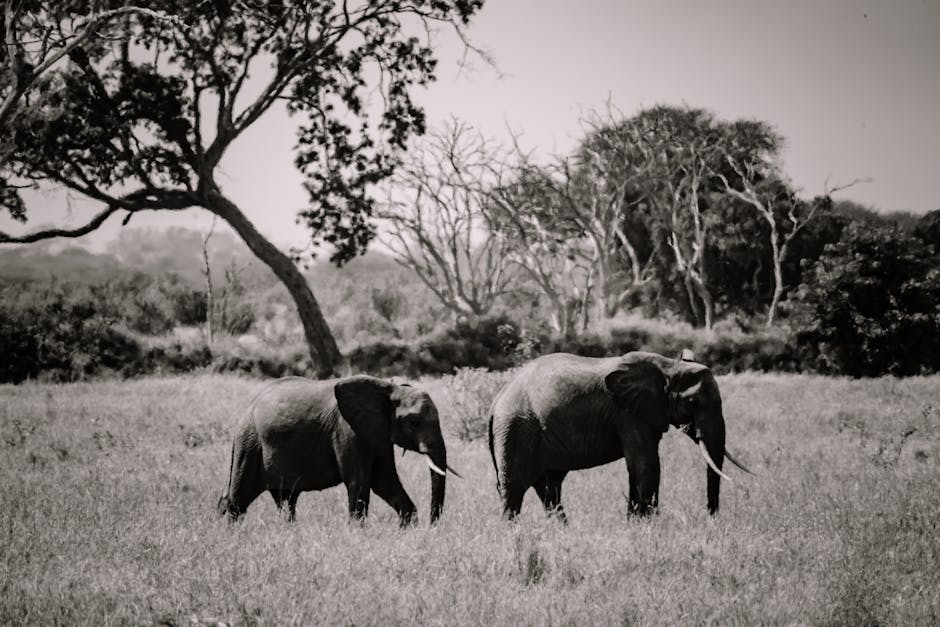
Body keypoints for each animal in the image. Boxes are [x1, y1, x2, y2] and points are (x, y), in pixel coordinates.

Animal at [217, 375, 455, 526]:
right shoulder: (346, 430)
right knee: (238, 499)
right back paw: (233, 535)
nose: (432, 526)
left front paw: (407, 528)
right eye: (414, 422)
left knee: (286, 500)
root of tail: (249, 405)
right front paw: (357, 534)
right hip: (249, 442)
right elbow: (360, 482)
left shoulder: (378, 434)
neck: (389, 388)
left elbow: (385, 481)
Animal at [487, 351, 751, 520]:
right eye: (693, 402)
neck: (670, 367)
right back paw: (515, 535)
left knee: (549, 488)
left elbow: (639, 467)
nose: (711, 519)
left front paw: (636, 524)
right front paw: (647, 527)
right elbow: (646, 465)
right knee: (514, 489)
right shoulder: (627, 414)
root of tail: (496, 401)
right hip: (515, 428)